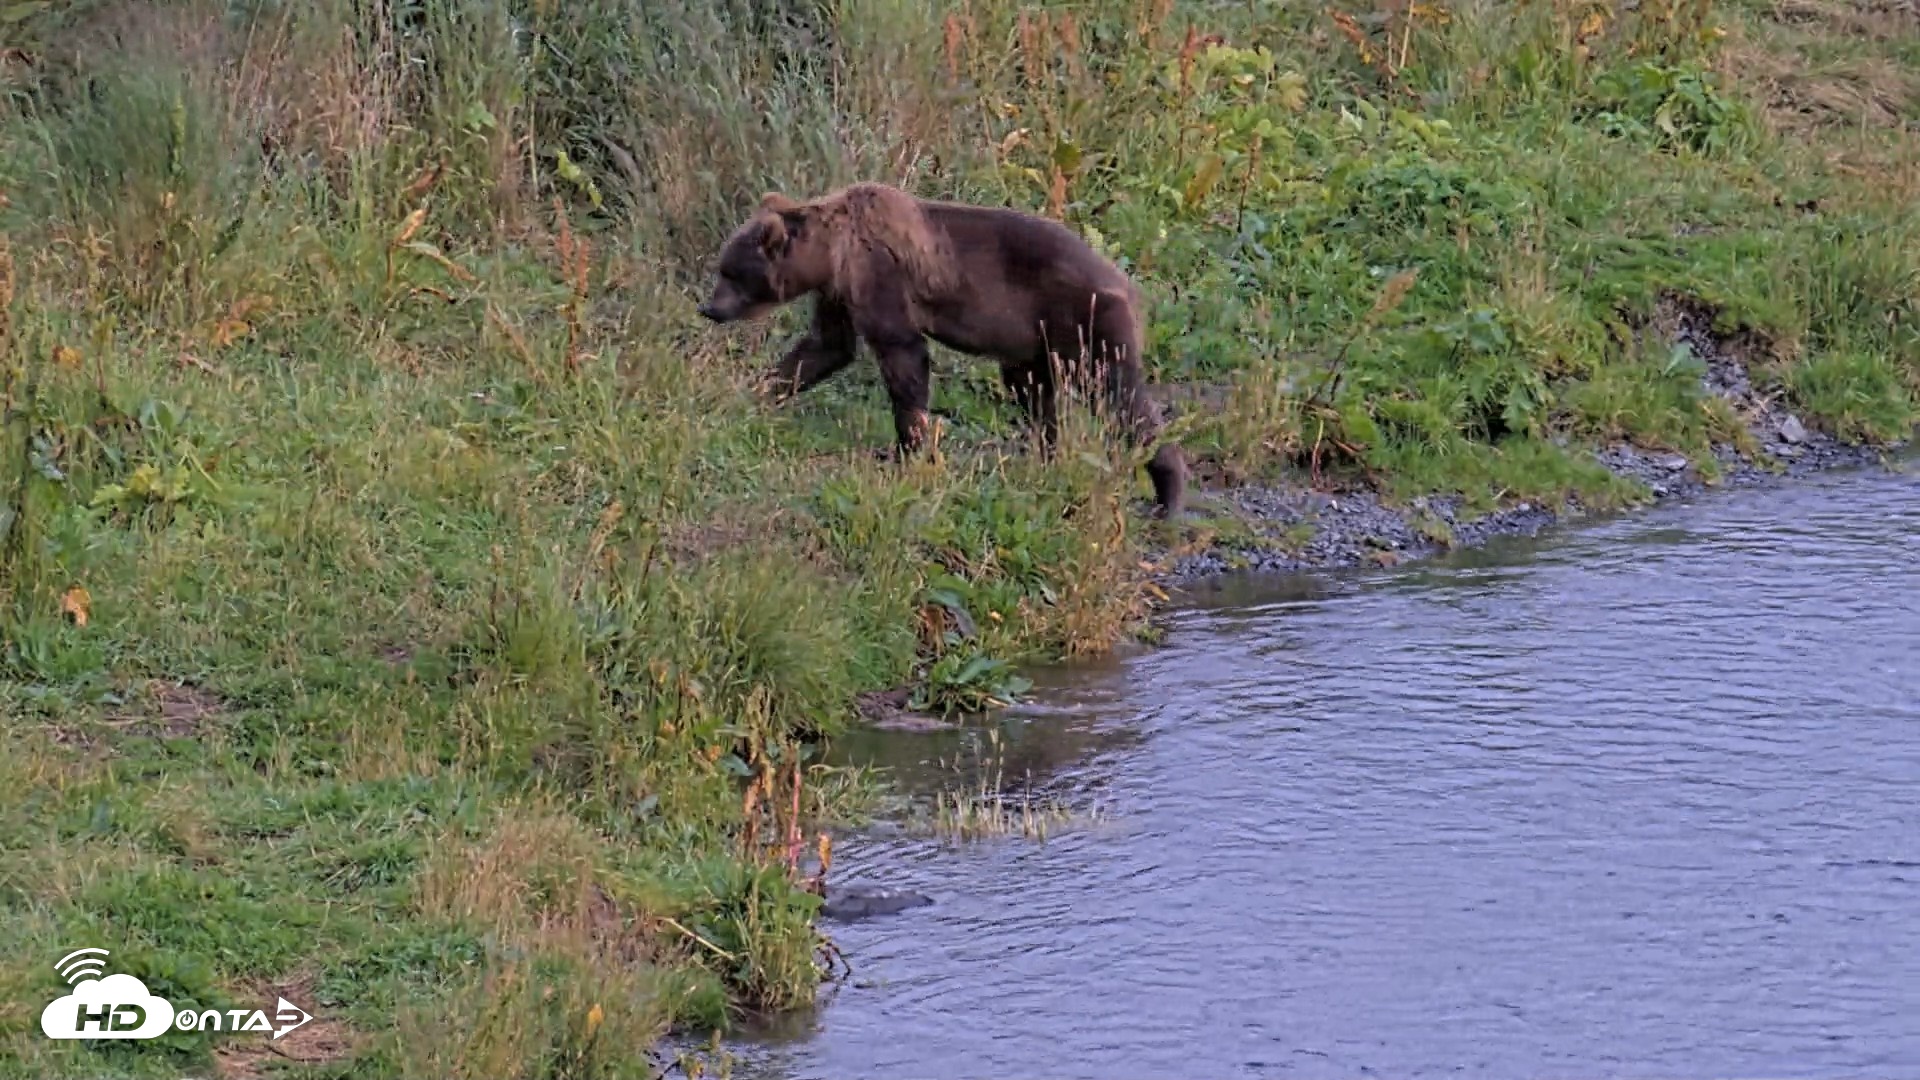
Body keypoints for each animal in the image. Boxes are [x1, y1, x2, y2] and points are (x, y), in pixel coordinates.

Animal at [696, 182, 1188, 519]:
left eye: (730, 272)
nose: (709, 308)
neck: (831, 251)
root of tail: (1127, 284)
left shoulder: (878, 275)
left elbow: (902, 353)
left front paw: (910, 447)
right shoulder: (840, 291)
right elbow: (826, 347)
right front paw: (754, 392)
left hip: (1085, 321)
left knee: (1118, 394)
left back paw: (1167, 488)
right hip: (1033, 344)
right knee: (1034, 395)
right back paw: (1045, 459)